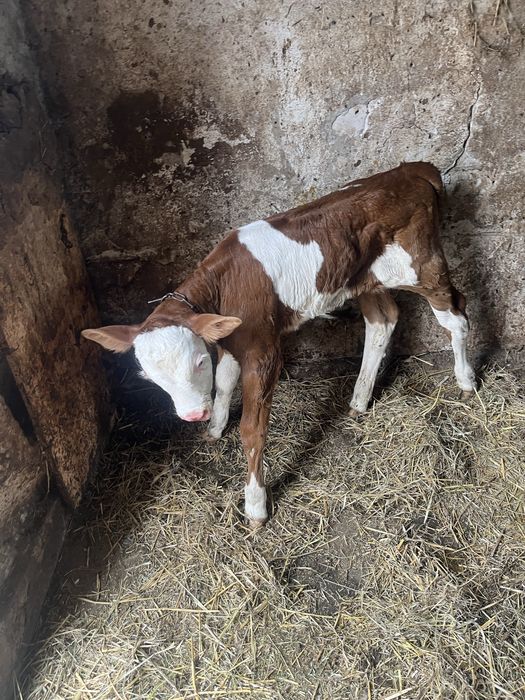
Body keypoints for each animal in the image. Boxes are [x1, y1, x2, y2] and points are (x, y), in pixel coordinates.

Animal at [82, 162, 475, 529]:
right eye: (150, 377)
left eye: (197, 361)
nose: (193, 415)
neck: (224, 284)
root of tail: (413, 170)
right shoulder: (229, 339)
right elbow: (224, 383)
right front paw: (215, 429)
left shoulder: (263, 350)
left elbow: (253, 429)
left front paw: (255, 505)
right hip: (363, 277)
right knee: (383, 319)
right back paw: (359, 399)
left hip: (423, 265)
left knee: (455, 314)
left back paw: (466, 380)